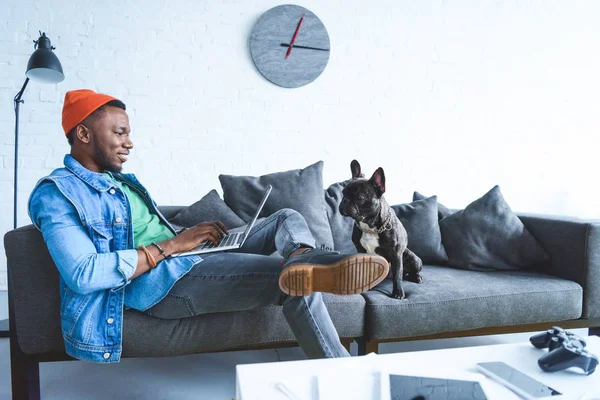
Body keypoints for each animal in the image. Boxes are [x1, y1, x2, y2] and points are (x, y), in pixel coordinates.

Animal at [340, 161, 424, 298]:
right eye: (343, 193)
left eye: (359, 198)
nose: (345, 201)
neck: (370, 227)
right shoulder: (361, 251)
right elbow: (363, 271)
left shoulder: (396, 255)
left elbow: (397, 276)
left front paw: (398, 292)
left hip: (413, 258)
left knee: (407, 272)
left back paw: (416, 277)